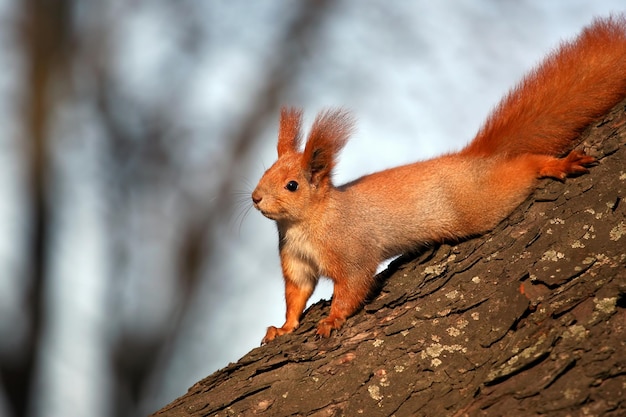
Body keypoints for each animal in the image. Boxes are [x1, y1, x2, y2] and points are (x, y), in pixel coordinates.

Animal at [251, 16, 624, 342]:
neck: (305, 223)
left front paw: (331, 320)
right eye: (264, 173)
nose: (255, 198)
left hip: (483, 203)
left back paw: (553, 165)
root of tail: (477, 160)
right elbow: (296, 294)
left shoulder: (350, 248)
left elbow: (353, 284)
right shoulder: (295, 260)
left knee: (523, 167)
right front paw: (283, 328)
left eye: (292, 185)